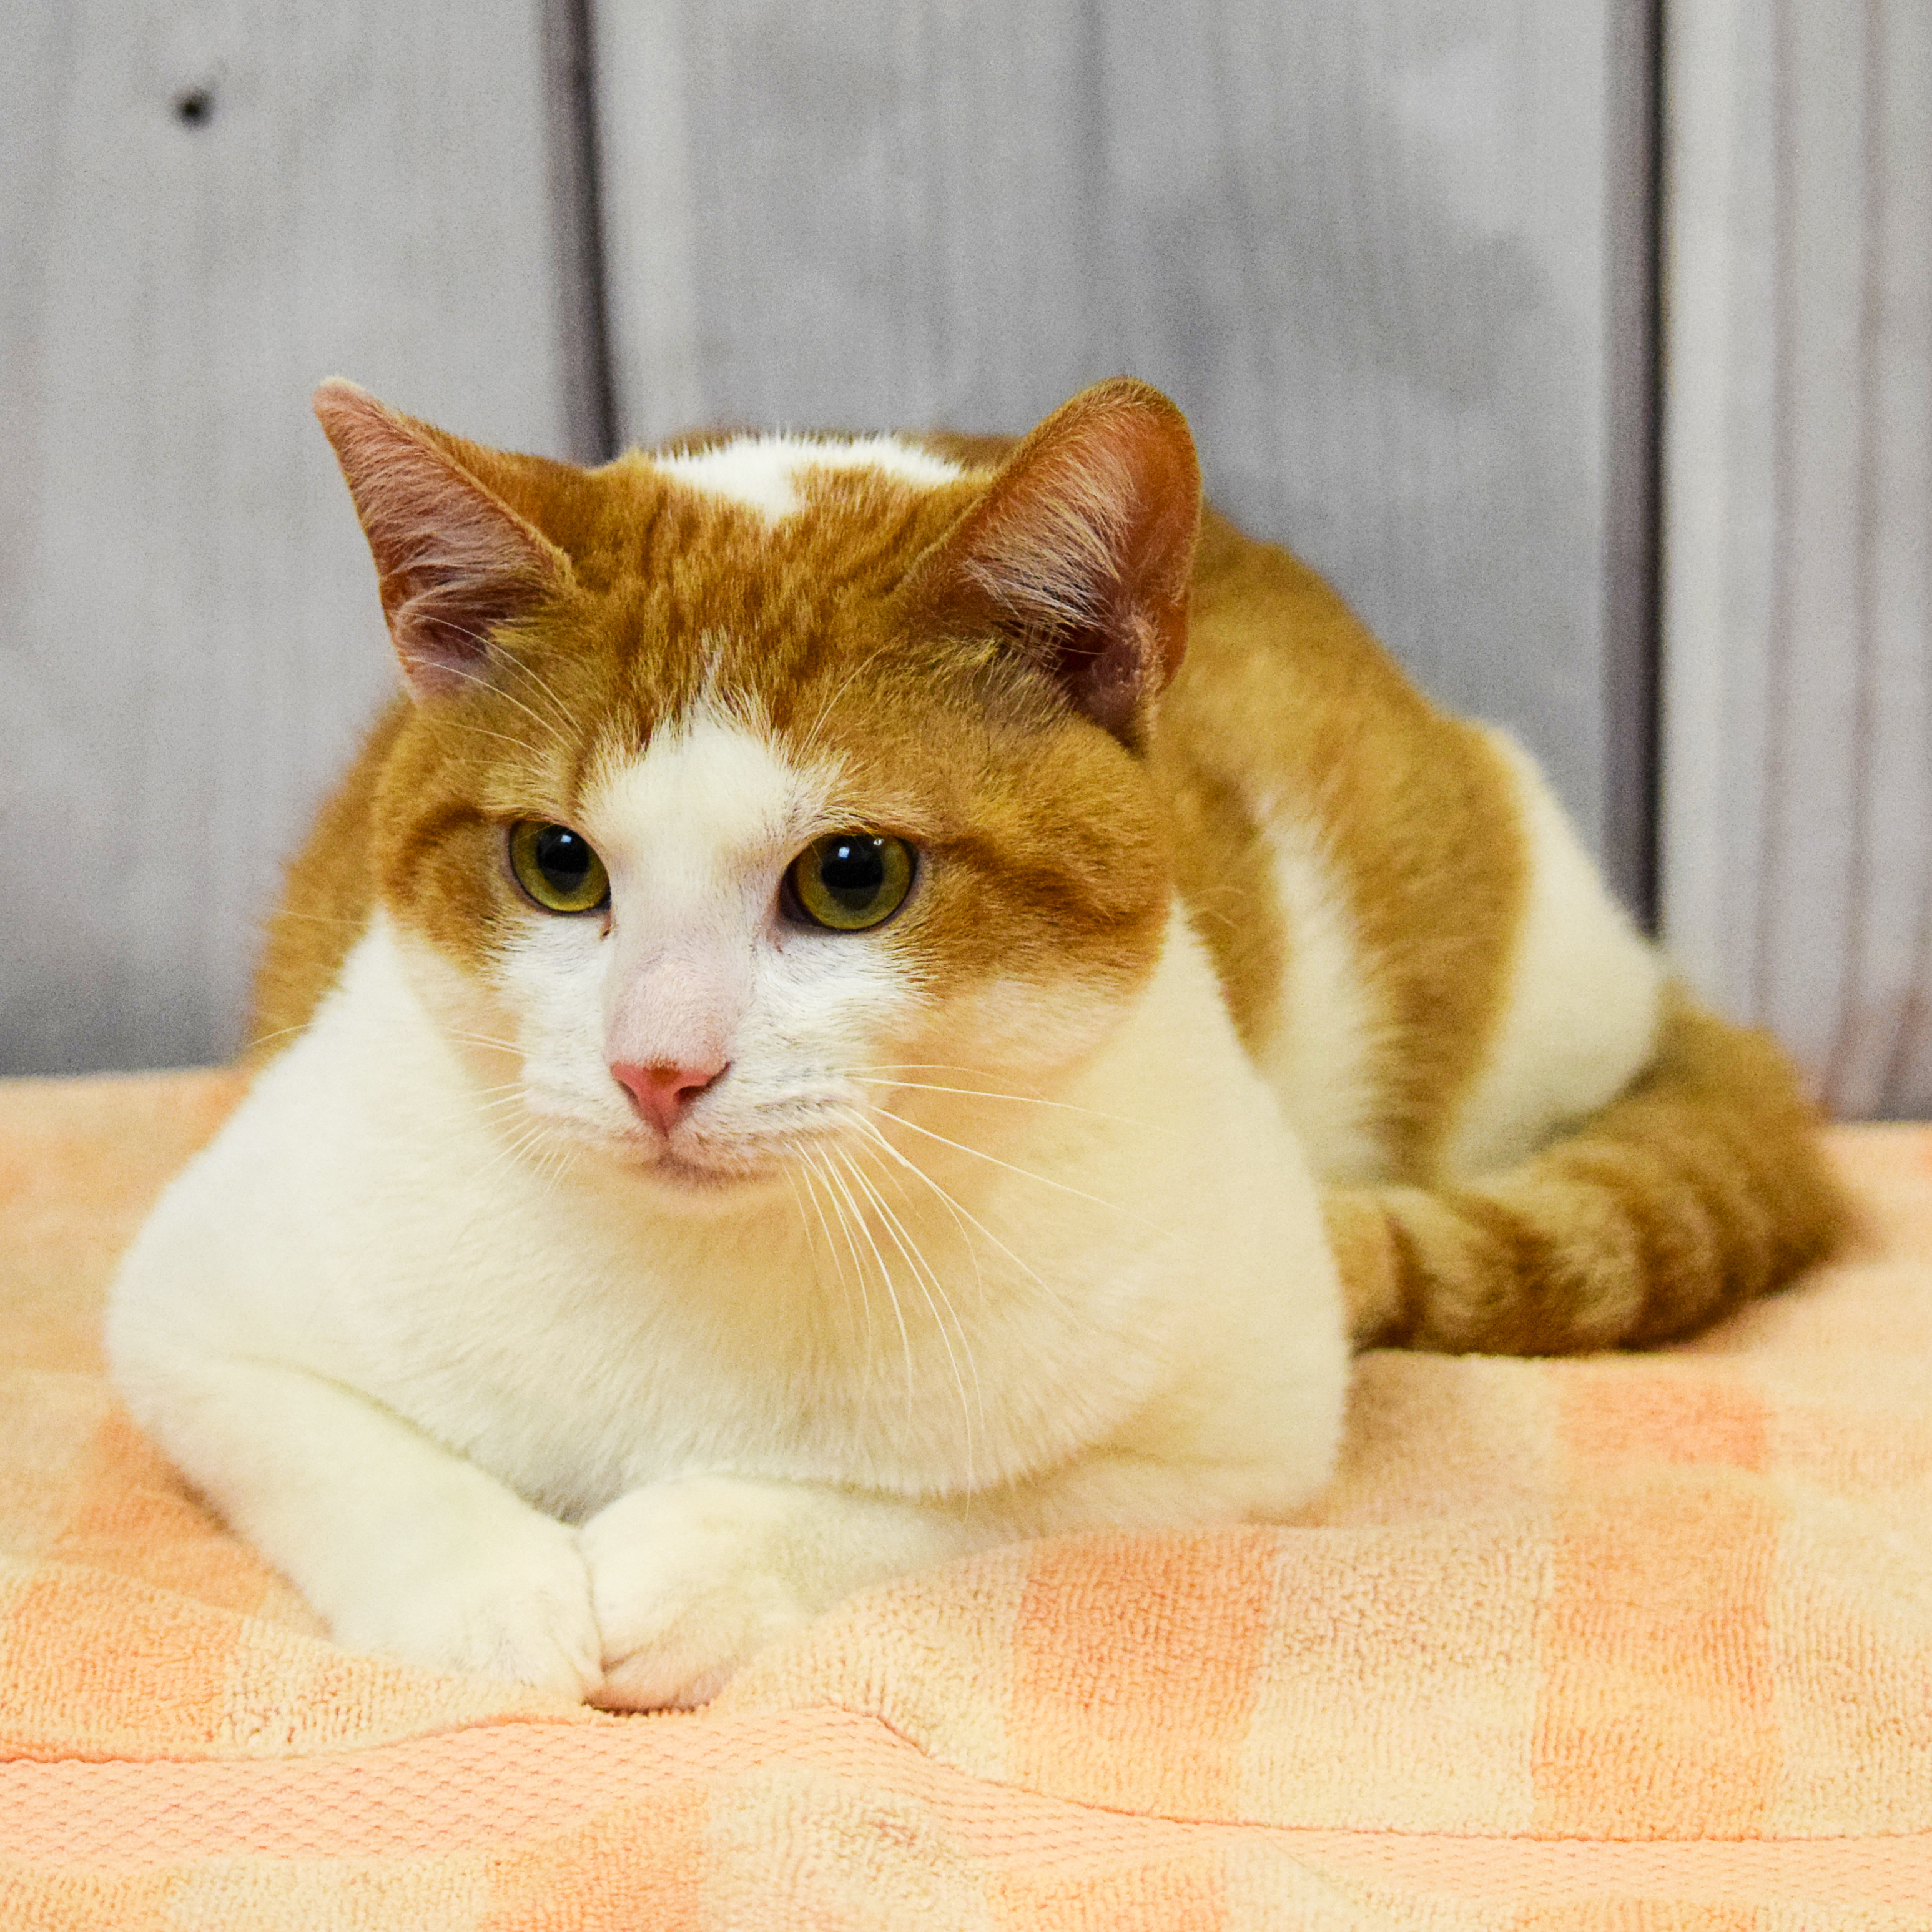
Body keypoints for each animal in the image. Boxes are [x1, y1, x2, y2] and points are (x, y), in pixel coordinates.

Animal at [106, 373, 1839, 1708]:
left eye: (851, 878)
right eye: (556, 864)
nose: (657, 1068)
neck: (717, 1272)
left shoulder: (1238, 1423)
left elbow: (971, 1504)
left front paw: (698, 1560)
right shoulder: (192, 1309)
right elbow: (338, 1453)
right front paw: (496, 1597)